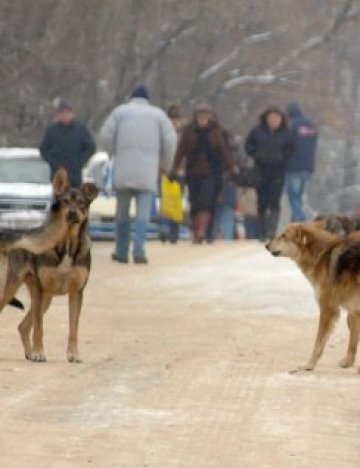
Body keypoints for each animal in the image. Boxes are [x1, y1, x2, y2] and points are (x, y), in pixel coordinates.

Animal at [268, 225, 360, 374]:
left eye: (284, 236)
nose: (266, 245)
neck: (321, 256)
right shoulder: (354, 311)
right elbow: (353, 340)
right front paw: (348, 362)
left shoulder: (328, 310)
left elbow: (318, 343)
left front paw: (309, 365)